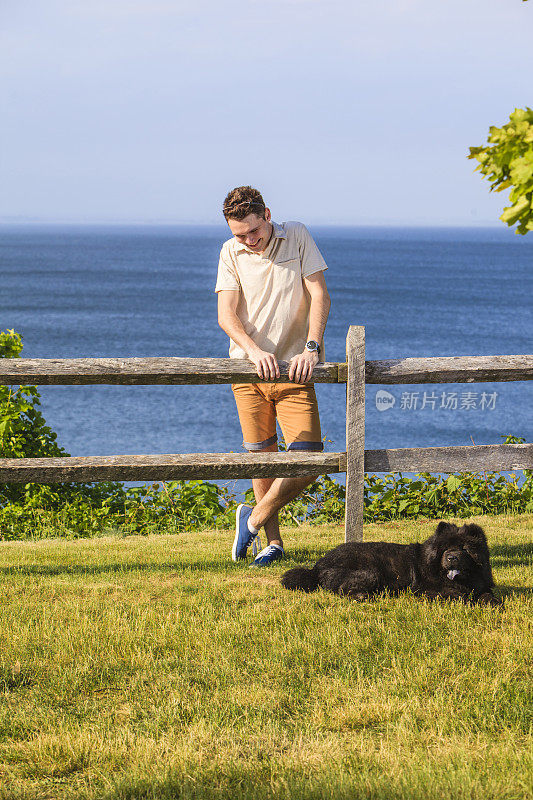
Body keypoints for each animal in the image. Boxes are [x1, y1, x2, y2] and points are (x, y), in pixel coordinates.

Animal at [280, 520, 500, 604]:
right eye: (445, 549)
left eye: (464, 549)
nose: (451, 557)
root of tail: (317, 566)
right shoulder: (424, 589)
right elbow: (454, 594)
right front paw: (465, 598)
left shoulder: (482, 585)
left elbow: (488, 595)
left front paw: (493, 603)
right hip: (369, 572)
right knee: (342, 589)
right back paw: (364, 596)